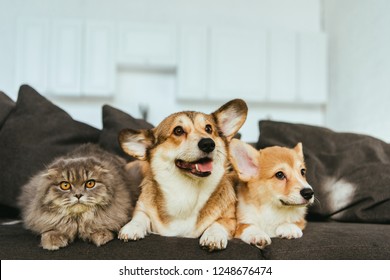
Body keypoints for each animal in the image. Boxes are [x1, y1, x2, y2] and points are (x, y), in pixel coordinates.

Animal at [117, 99, 248, 252]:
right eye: (178, 130)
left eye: (208, 129)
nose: (208, 143)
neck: (187, 191)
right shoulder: (142, 208)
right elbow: (140, 217)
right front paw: (131, 228)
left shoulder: (230, 219)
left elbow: (218, 223)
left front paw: (213, 236)